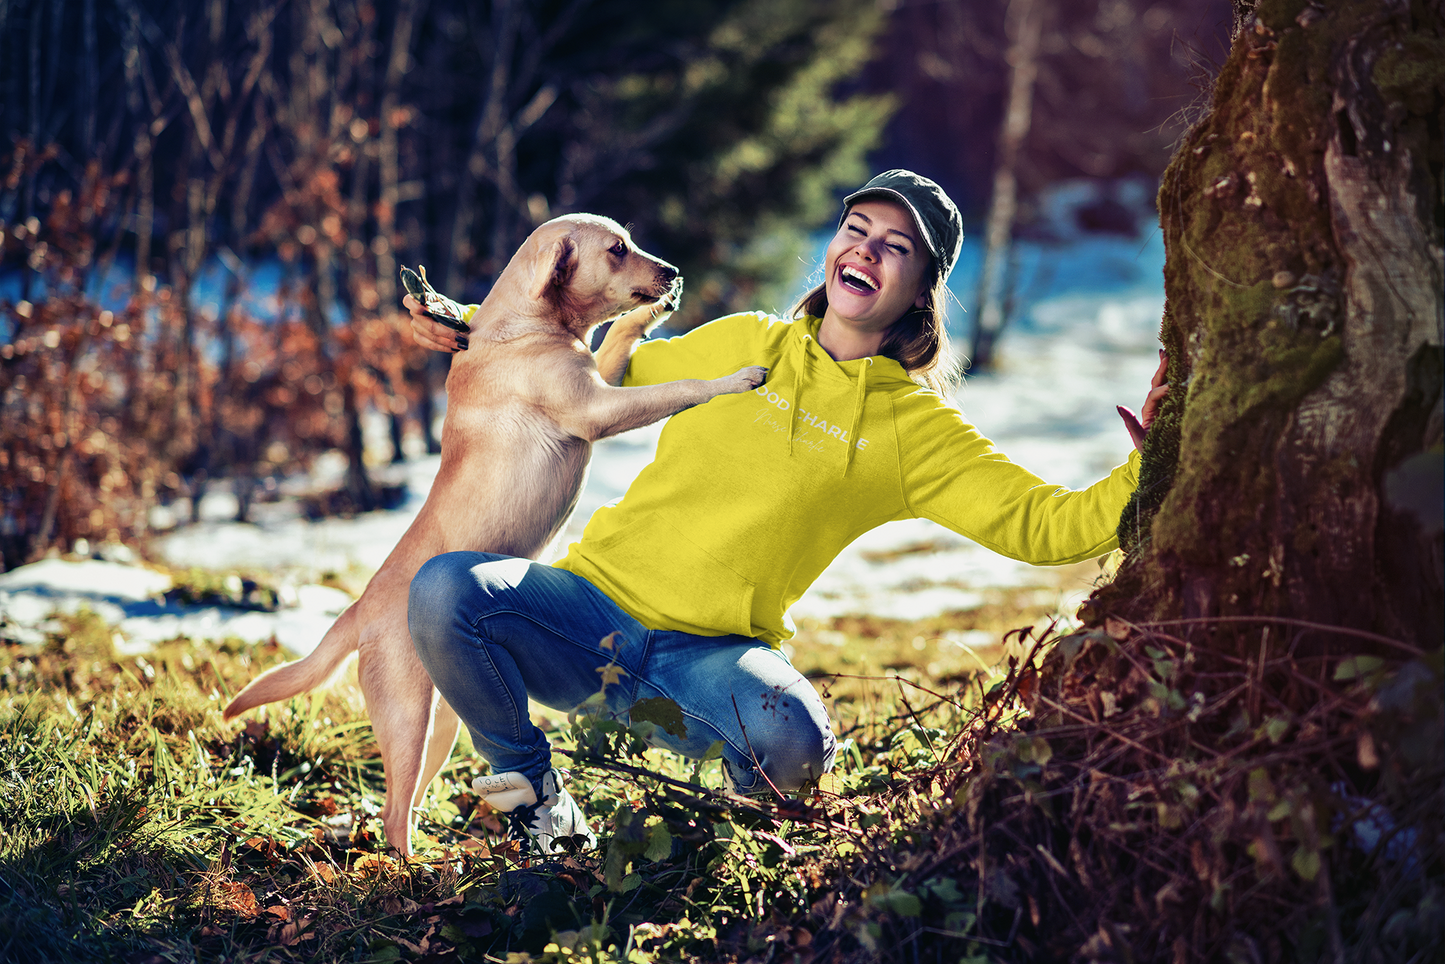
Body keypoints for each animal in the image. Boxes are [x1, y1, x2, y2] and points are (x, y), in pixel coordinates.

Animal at [222, 215, 768, 855]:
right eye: (617, 250)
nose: (674, 271)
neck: (527, 327)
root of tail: (358, 611)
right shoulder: (598, 410)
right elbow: (679, 389)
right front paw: (735, 379)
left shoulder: (598, 378)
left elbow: (619, 336)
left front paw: (652, 313)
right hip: (407, 719)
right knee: (392, 815)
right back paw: (418, 868)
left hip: (441, 726)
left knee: (405, 802)